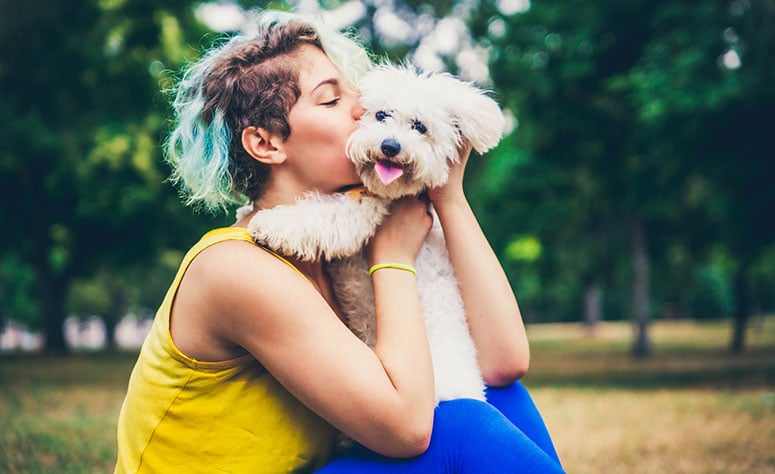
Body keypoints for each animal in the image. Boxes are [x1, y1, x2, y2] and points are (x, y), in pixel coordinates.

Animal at [246, 64, 506, 404]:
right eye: (381, 115)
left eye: (419, 126)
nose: (390, 146)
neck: (386, 192)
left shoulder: (359, 214)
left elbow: (319, 214)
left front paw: (269, 225)